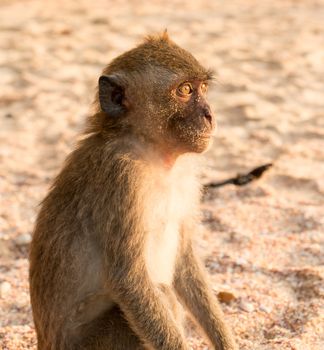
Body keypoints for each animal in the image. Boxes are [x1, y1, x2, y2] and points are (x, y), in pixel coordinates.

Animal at [29, 32, 238, 350]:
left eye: (202, 88)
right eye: (185, 90)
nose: (209, 115)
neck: (151, 150)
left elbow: (184, 259)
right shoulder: (121, 178)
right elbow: (127, 279)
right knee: (156, 296)